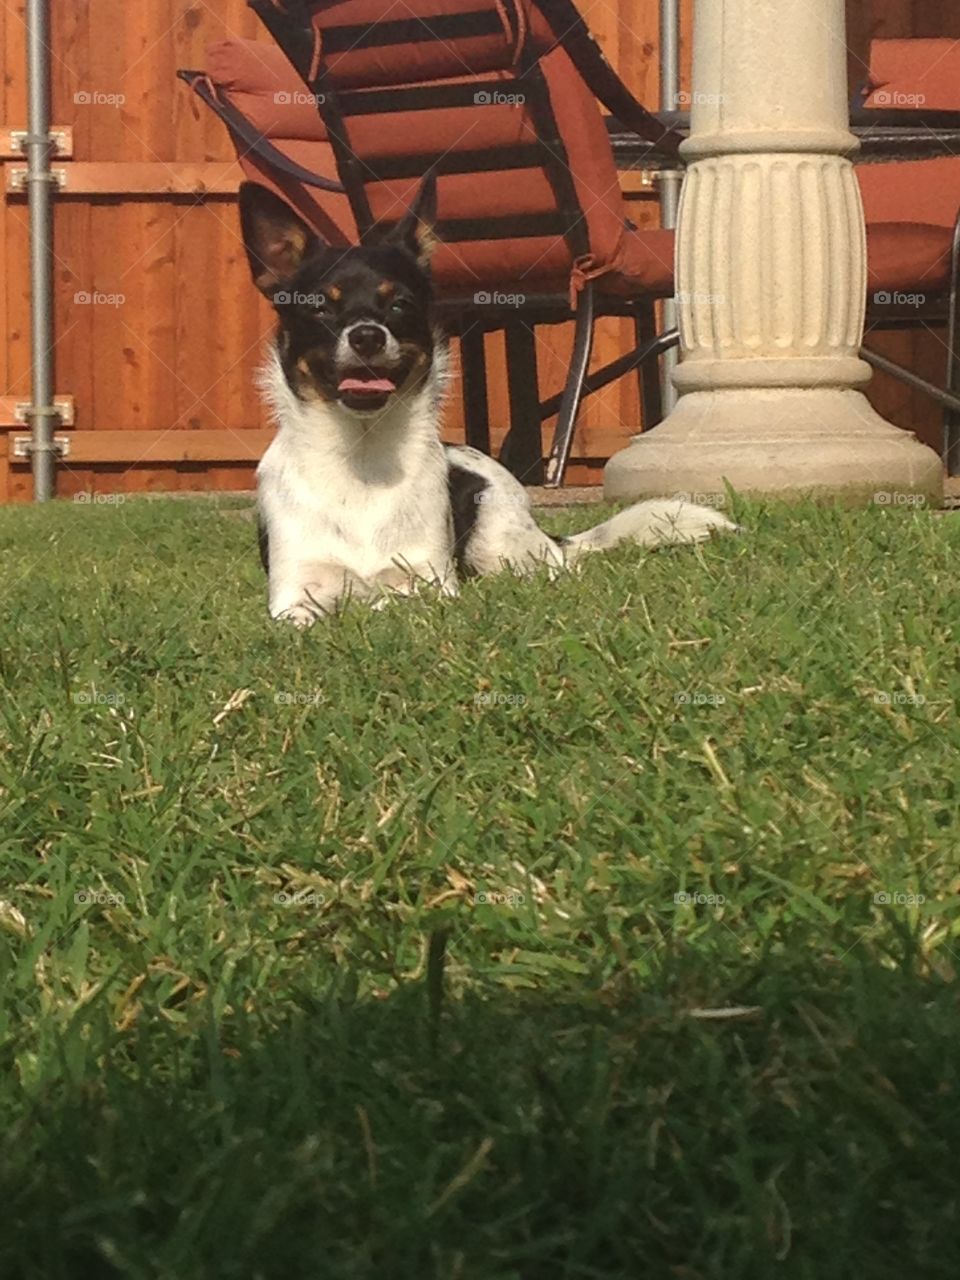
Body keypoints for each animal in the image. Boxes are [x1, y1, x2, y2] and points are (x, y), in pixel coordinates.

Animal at [240, 175, 737, 624]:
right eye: (320, 307)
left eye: (399, 304)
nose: (367, 335)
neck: (363, 461)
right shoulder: (294, 593)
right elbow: (310, 612)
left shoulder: (432, 581)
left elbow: (397, 599)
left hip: (503, 541)